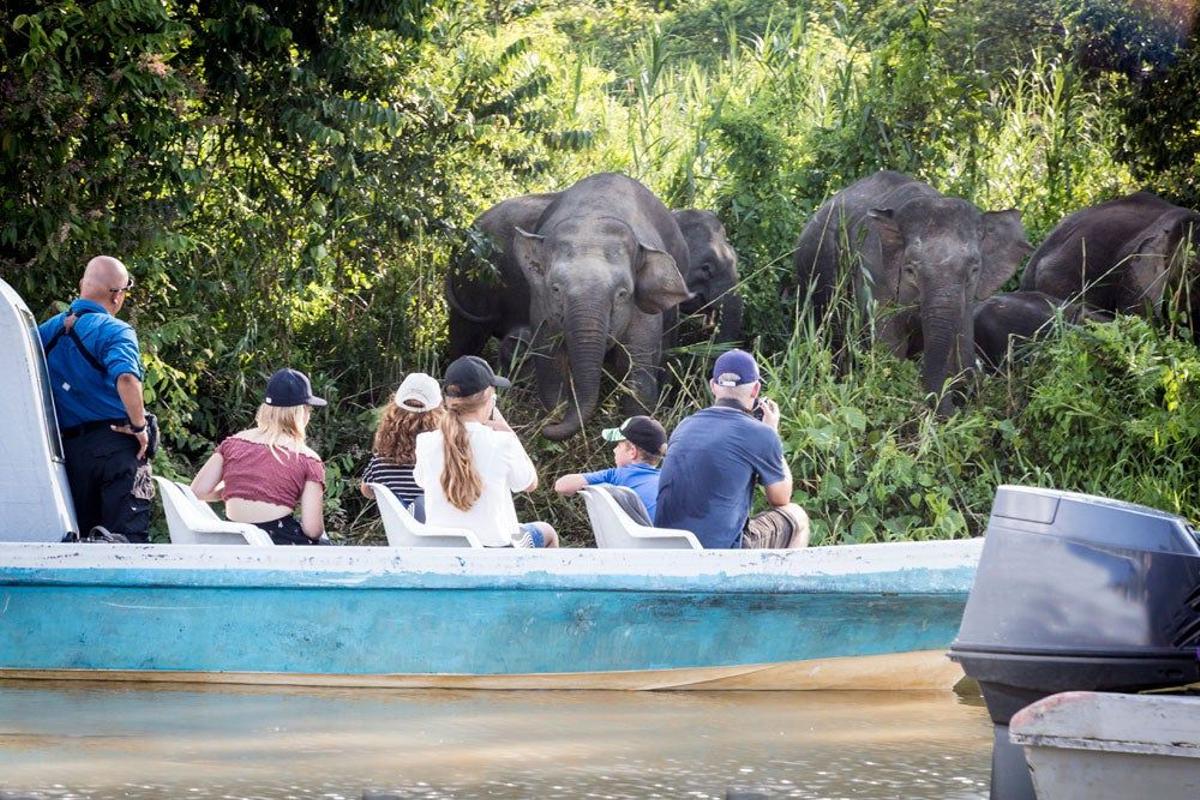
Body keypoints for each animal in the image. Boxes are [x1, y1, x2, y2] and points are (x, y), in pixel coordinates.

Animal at [792, 172, 1036, 417]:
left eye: (974, 269)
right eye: (910, 269)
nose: (954, 412)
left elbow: (963, 338)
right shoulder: (873, 270)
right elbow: (888, 343)